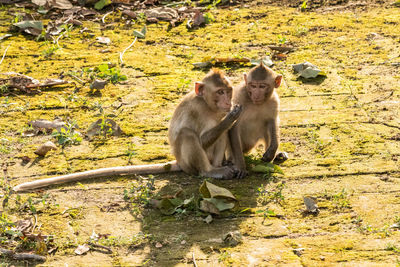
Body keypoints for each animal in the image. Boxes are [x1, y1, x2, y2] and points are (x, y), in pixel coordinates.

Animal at [13, 69, 241, 193]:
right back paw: (209, 171)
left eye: (228, 91)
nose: (227, 101)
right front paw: (231, 117)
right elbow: (200, 137)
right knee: (189, 135)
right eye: (220, 92)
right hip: (187, 163)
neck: (208, 107)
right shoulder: (196, 110)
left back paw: (222, 167)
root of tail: (178, 163)